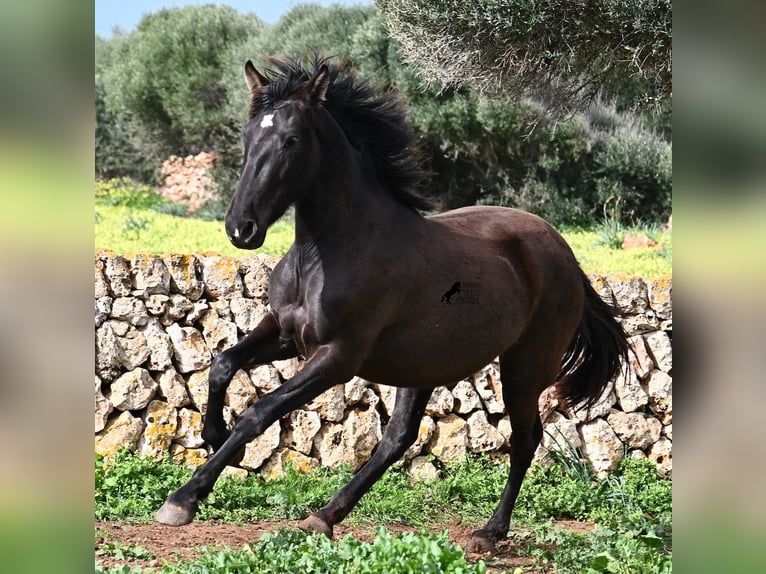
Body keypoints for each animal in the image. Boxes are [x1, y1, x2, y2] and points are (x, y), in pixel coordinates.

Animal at [158, 57, 632, 552]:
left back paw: (489, 532)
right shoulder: (285, 333)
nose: (241, 229)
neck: (326, 253)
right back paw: (323, 516)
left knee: (525, 439)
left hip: (524, 366)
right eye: (248, 137)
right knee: (398, 439)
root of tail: (565, 254)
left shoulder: (338, 356)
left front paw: (185, 498)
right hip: (423, 366)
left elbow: (260, 412)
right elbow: (222, 364)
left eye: (291, 140)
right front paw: (212, 435)